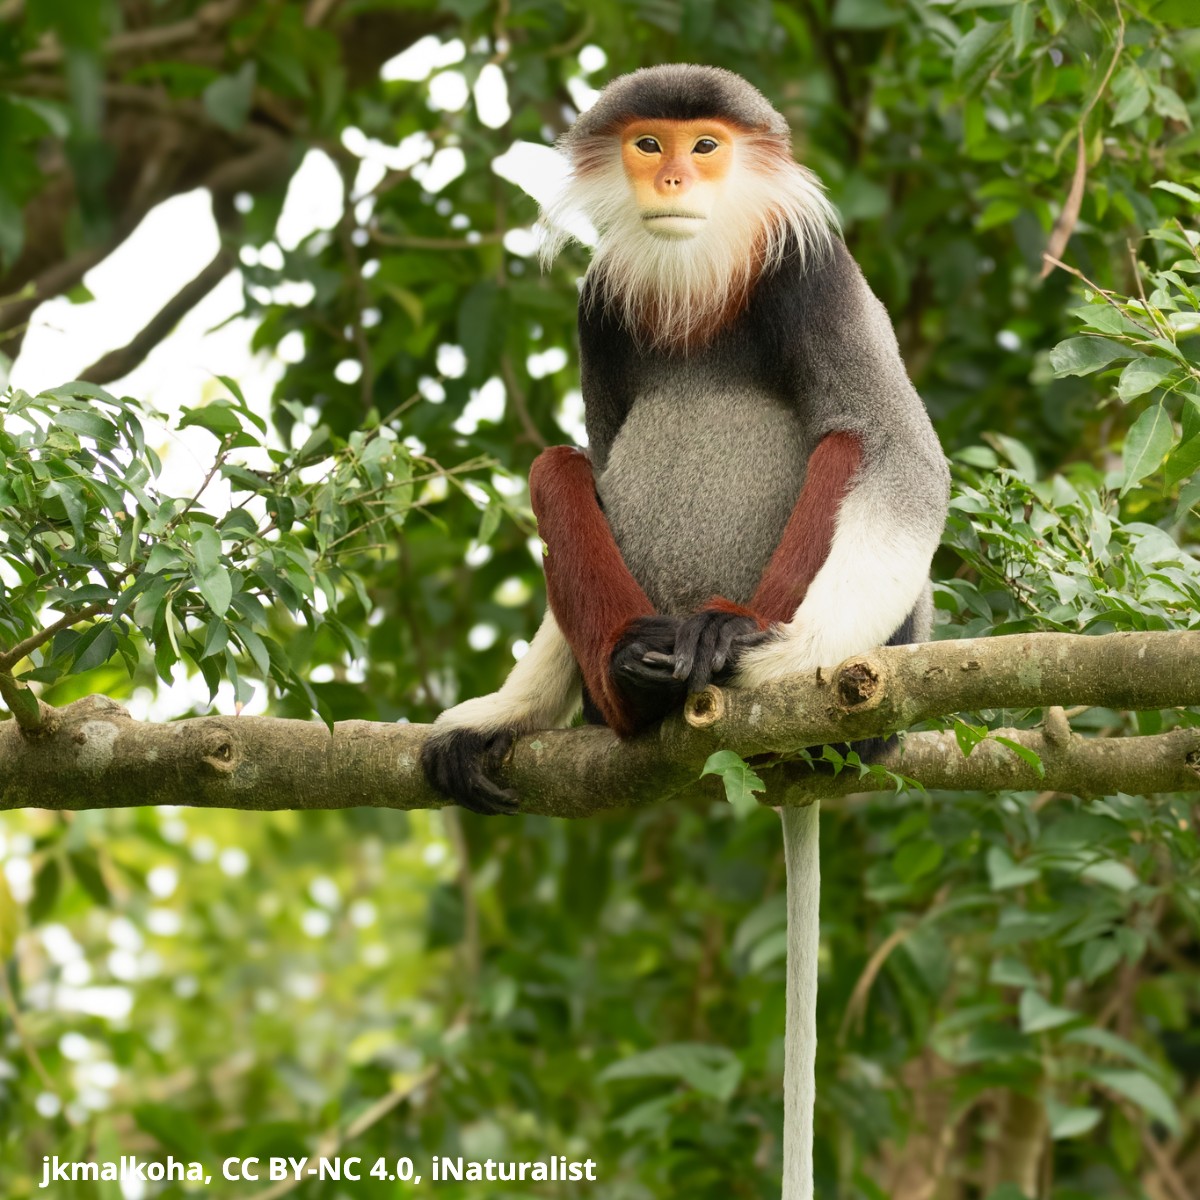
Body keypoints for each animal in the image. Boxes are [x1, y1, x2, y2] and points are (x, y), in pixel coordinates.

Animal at [422, 63, 945, 1200]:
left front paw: (781, 657)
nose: (669, 177)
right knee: (559, 466)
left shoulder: (816, 277)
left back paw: (744, 663)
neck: (702, 277)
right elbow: (594, 443)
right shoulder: (597, 311)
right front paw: (505, 711)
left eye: (705, 147)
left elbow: (903, 462)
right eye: (649, 142)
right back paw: (636, 680)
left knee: (846, 446)